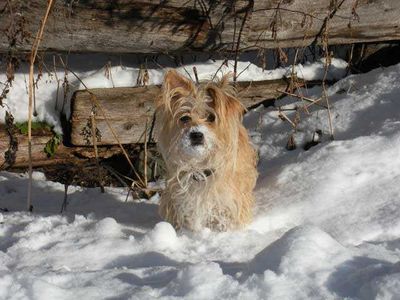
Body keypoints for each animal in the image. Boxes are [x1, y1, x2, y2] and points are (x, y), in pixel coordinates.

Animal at [155, 70, 258, 232]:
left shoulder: (230, 203)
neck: (200, 167)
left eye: (211, 117)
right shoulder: (177, 202)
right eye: (185, 118)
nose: (196, 134)